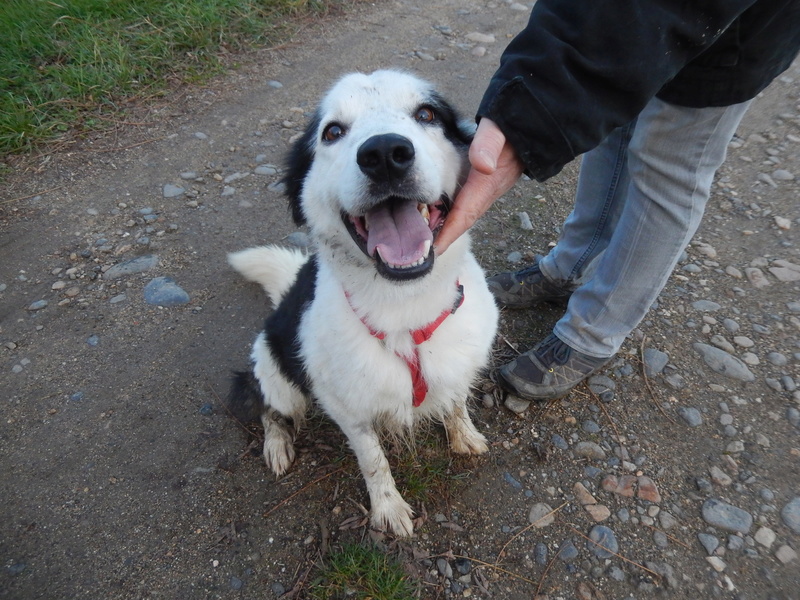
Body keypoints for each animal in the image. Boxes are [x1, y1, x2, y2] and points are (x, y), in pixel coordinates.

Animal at [228, 69, 496, 536]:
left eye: (426, 114)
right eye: (332, 132)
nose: (385, 153)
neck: (405, 304)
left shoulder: (458, 363)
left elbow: (457, 402)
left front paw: (463, 434)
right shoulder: (347, 407)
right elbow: (373, 460)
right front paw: (388, 509)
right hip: (278, 374)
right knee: (265, 405)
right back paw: (277, 444)